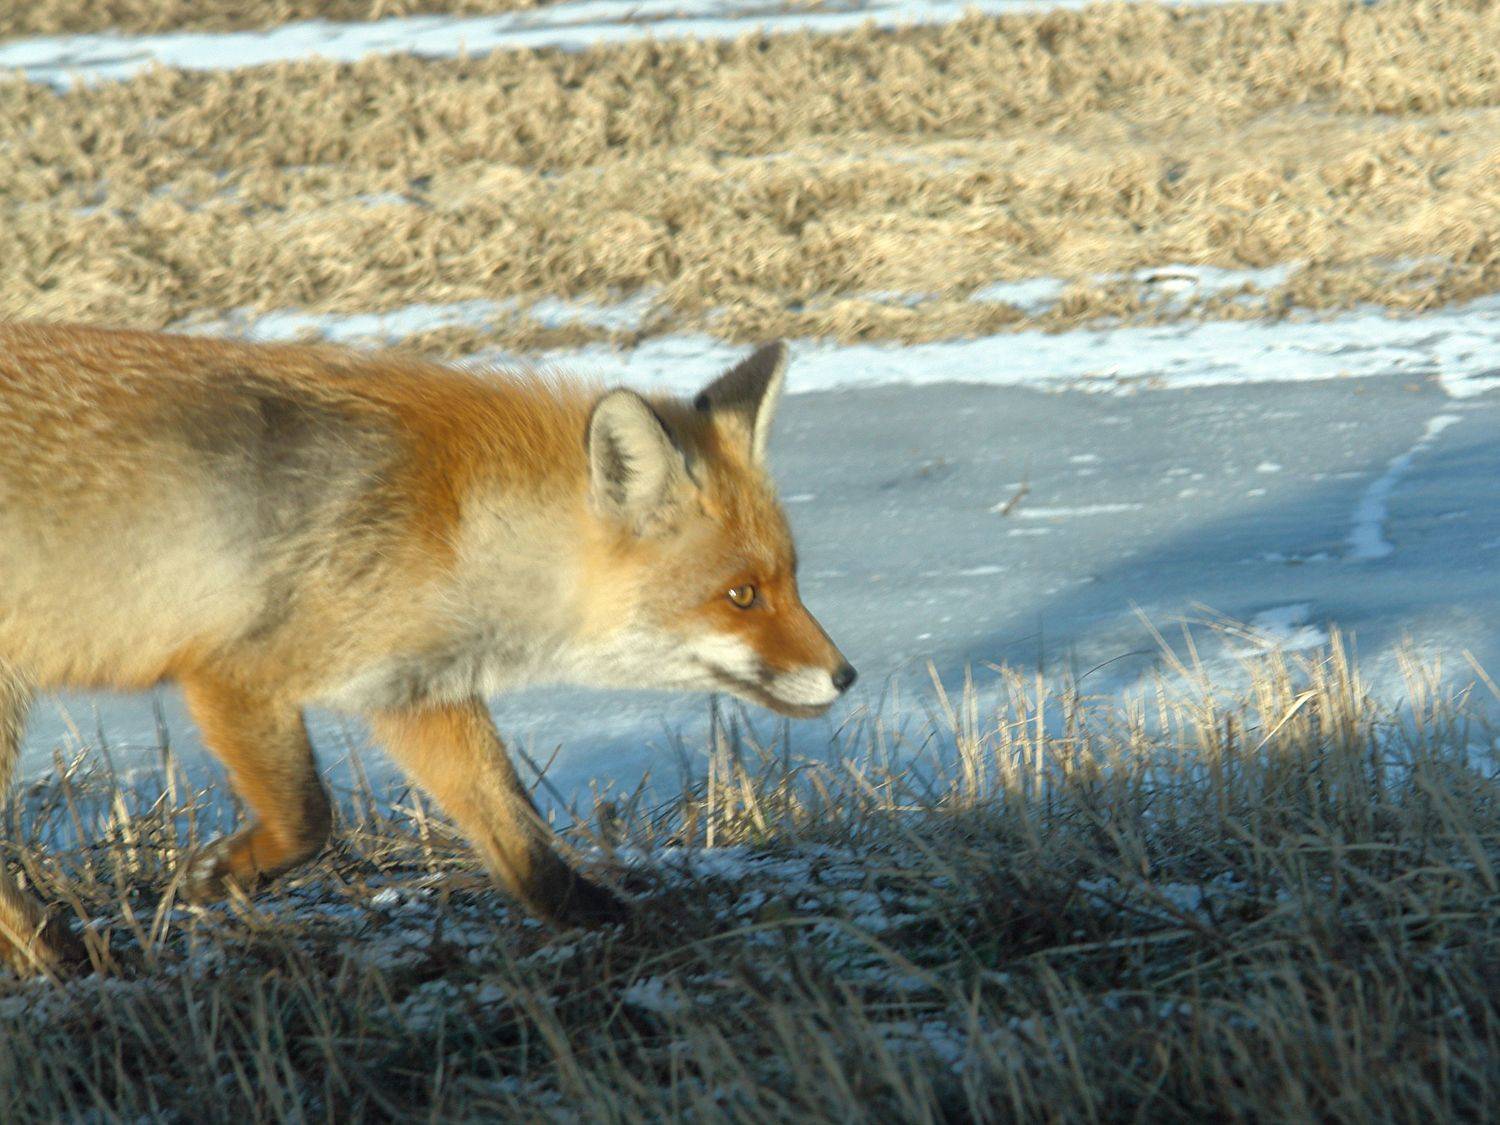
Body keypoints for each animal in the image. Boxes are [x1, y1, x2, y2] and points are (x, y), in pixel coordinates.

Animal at [0, 323, 855, 977]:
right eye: (741, 595)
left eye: (791, 579)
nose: (846, 676)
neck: (455, 528)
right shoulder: (234, 672)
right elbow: (311, 816)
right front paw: (224, 873)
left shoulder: (413, 694)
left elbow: (520, 838)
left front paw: (609, 923)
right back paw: (61, 958)